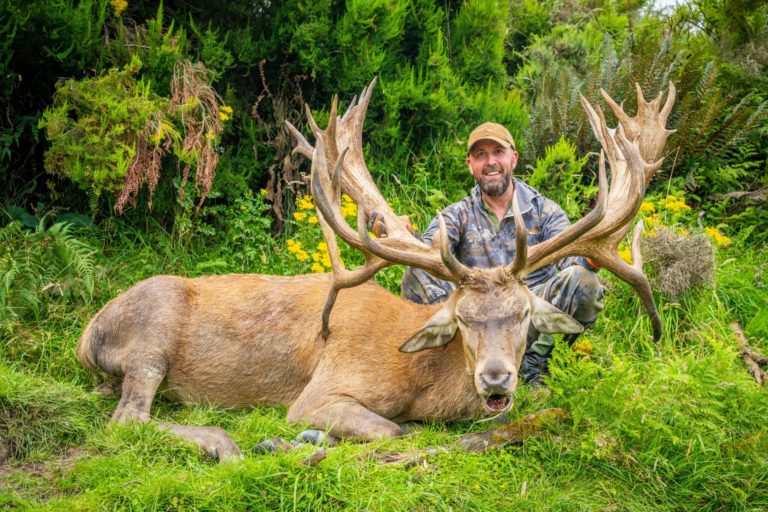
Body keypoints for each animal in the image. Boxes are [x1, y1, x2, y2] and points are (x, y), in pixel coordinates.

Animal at [77, 78, 676, 461]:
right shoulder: (320, 392)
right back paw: (221, 442)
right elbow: (393, 432)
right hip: (152, 330)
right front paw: (297, 442)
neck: (419, 379)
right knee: (127, 419)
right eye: (462, 319)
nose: (496, 378)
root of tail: (85, 336)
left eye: (525, 317)